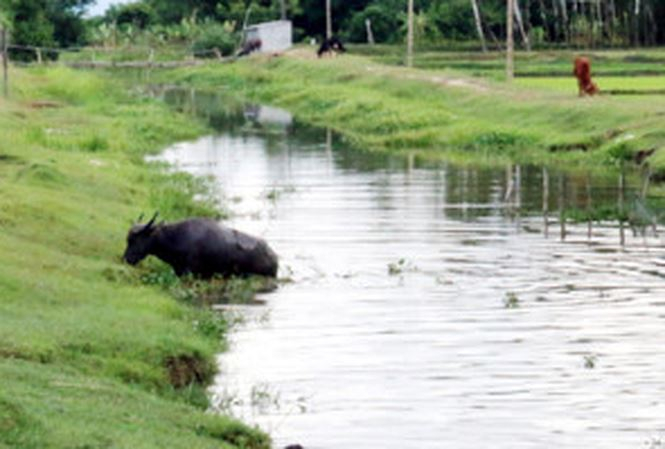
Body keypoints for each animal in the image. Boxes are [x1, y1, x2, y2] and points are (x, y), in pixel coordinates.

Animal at [124, 213, 278, 276]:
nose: (126, 259)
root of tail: (274, 256)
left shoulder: (190, 272)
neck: (174, 237)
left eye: (135, 240)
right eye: (128, 239)